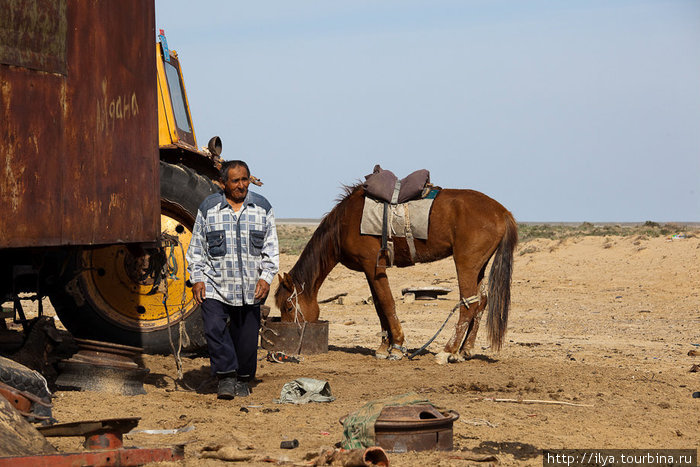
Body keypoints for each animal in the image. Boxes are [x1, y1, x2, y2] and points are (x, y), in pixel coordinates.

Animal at [276, 185, 516, 364]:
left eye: (289, 307)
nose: (288, 344)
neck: (344, 224)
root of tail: (502, 212)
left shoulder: (373, 266)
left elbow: (387, 303)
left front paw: (398, 347)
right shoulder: (369, 270)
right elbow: (379, 306)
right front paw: (384, 347)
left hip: (466, 264)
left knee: (468, 305)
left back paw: (448, 351)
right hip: (480, 266)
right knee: (481, 302)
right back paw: (464, 350)